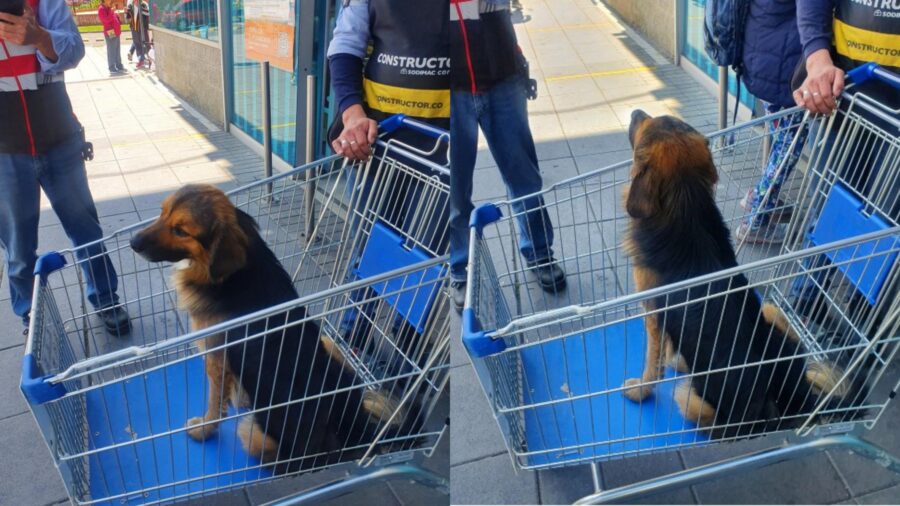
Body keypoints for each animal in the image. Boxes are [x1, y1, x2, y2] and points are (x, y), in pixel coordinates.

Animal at [131, 183, 404, 470]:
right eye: (162, 212)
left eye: (181, 231)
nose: (133, 243)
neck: (232, 277)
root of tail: (355, 436)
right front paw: (240, 397)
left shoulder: (216, 357)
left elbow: (215, 402)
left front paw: (204, 428)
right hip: (333, 352)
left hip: (252, 432)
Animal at [620, 110, 864, 438]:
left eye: (647, 124)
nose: (635, 112)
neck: (684, 205)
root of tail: (792, 405)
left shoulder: (654, 314)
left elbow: (652, 363)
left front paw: (640, 390)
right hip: (771, 312)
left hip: (693, 401)